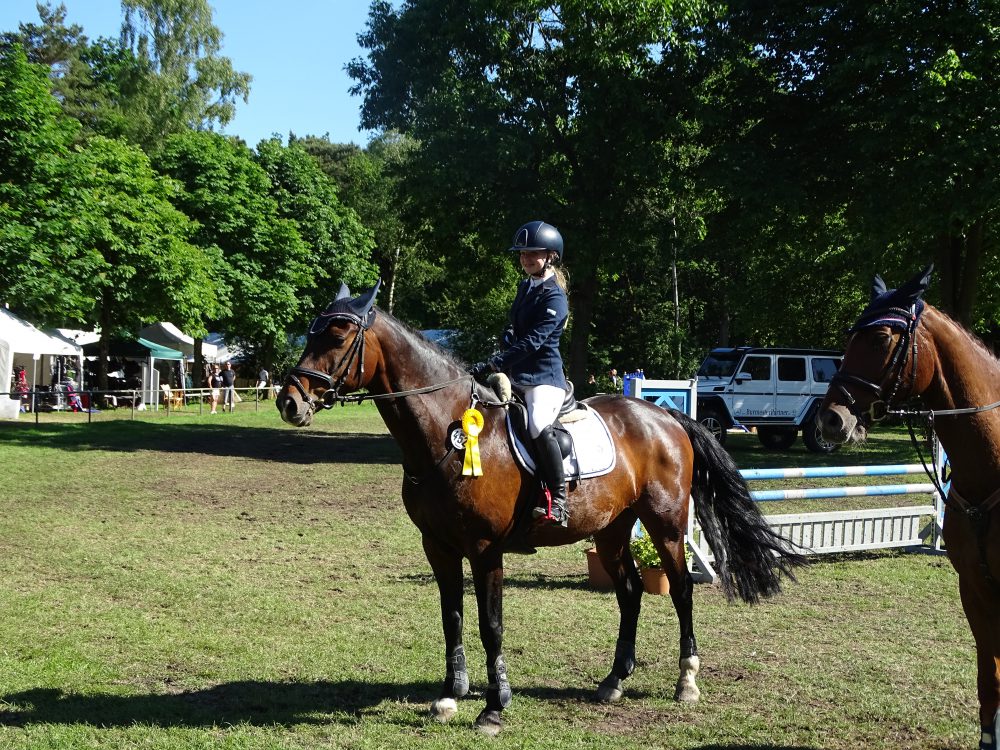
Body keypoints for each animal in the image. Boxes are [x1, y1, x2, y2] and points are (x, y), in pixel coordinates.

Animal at [276, 284, 804, 736]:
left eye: (337, 334)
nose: (289, 402)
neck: (446, 433)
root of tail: (664, 415)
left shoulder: (485, 549)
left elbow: (491, 624)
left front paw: (494, 706)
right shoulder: (438, 546)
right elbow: (452, 617)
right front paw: (449, 696)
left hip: (667, 525)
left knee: (680, 591)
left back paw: (686, 682)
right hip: (612, 530)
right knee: (630, 591)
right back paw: (613, 681)